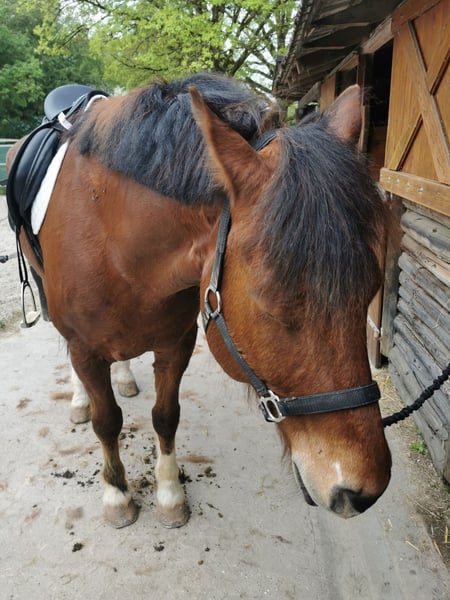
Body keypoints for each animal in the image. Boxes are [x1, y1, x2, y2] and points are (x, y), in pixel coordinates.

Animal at [7, 72, 391, 528]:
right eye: (271, 305)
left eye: (369, 291)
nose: (362, 490)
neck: (114, 242)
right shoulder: (86, 350)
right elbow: (107, 421)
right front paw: (117, 495)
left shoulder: (176, 343)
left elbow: (165, 416)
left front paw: (170, 493)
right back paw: (81, 399)